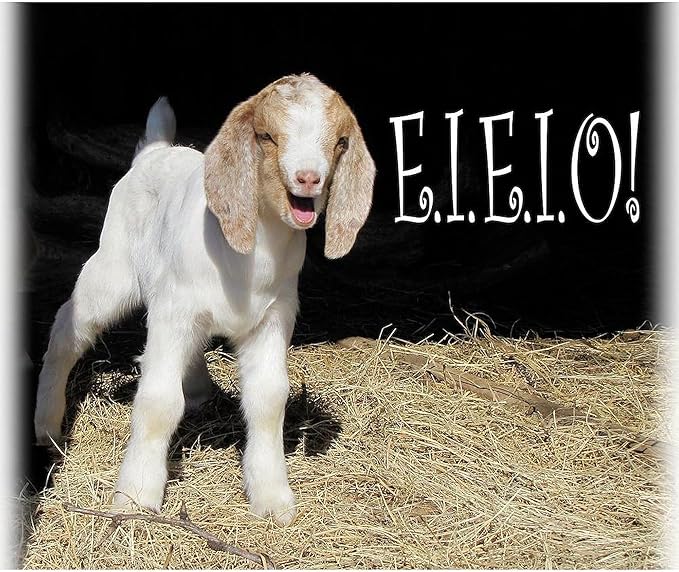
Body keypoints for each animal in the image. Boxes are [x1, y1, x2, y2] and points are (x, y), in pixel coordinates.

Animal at [34, 73, 376, 525]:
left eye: (339, 142)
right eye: (267, 136)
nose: (308, 178)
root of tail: (155, 151)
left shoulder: (274, 317)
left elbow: (269, 399)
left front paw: (273, 499)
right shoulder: (172, 311)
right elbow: (158, 401)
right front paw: (136, 498)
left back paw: (196, 388)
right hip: (113, 268)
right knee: (67, 326)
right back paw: (46, 425)